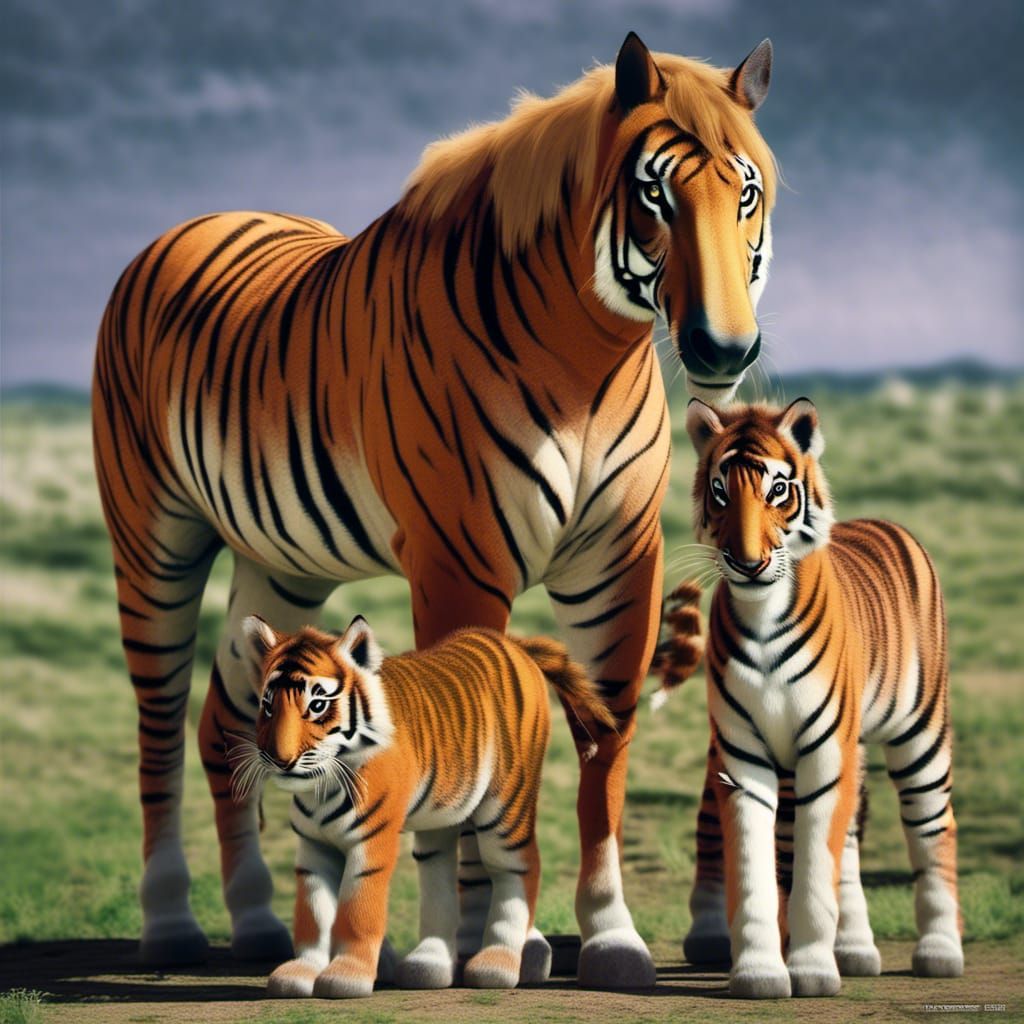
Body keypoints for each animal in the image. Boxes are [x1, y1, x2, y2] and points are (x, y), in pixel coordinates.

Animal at [232, 614, 614, 998]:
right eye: (268, 705)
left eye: (317, 705)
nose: (279, 759)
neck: (320, 788)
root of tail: (514, 643)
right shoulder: (313, 846)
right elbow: (312, 914)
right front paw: (300, 973)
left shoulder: (371, 842)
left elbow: (357, 912)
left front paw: (346, 976)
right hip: (439, 819)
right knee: (438, 875)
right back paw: (428, 966)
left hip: (507, 805)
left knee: (520, 867)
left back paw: (497, 963)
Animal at [652, 397, 963, 998]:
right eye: (720, 490)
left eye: (777, 489)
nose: (747, 562)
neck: (763, 616)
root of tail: (888, 522)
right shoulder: (746, 758)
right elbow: (755, 873)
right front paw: (759, 973)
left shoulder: (822, 752)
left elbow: (814, 874)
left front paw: (814, 971)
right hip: (850, 749)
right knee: (850, 843)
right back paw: (857, 949)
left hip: (920, 735)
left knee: (933, 825)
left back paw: (939, 952)